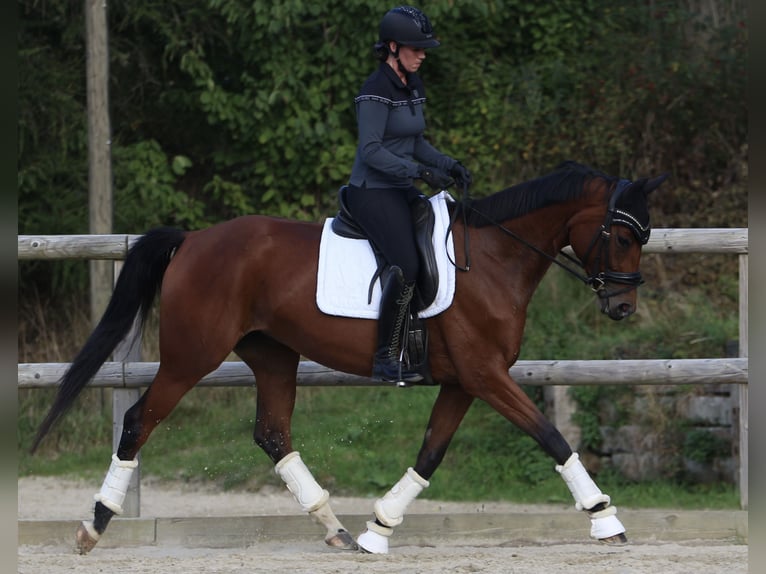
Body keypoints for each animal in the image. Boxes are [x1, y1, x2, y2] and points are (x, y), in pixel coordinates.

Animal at [31, 160, 668, 555]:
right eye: (621, 236)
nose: (623, 307)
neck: (491, 258)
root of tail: (192, 240)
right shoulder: (486, 375)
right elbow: (552, 438)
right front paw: (606, 518)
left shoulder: (465, 381)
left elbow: (430, 454)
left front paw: (378, 528)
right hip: (192, 356)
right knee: (140, 420)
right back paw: (93, 526)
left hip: (273, 356)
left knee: (273, 433)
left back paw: (334, 527)